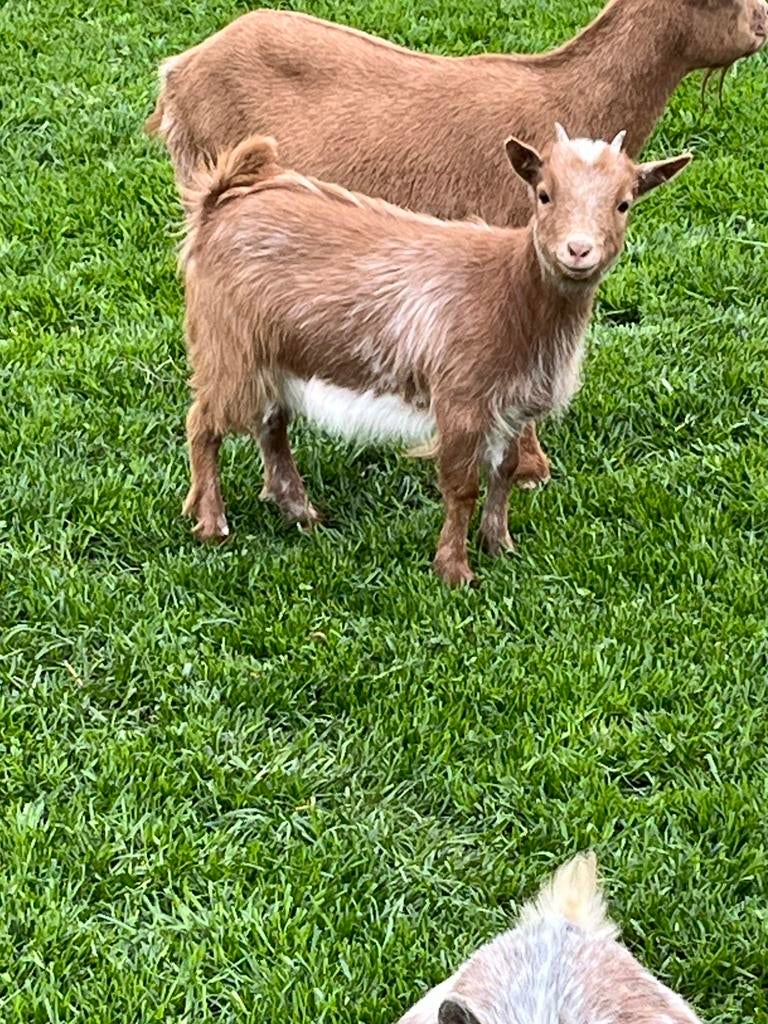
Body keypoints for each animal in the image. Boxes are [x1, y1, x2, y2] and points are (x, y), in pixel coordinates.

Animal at [179, 126, 690, 586]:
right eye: (544, 194)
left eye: (623, 203)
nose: (578, 250)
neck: (510, 289)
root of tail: (219, 203)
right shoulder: (461, 400)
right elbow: (461, 488)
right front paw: (454, 571)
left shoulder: (513, 405)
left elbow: (504, 472)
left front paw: (500, 545)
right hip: (228, 346)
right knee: (204, 424)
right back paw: (212, 524)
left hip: (274, 354)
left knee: (271, 425)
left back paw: (299, 510)